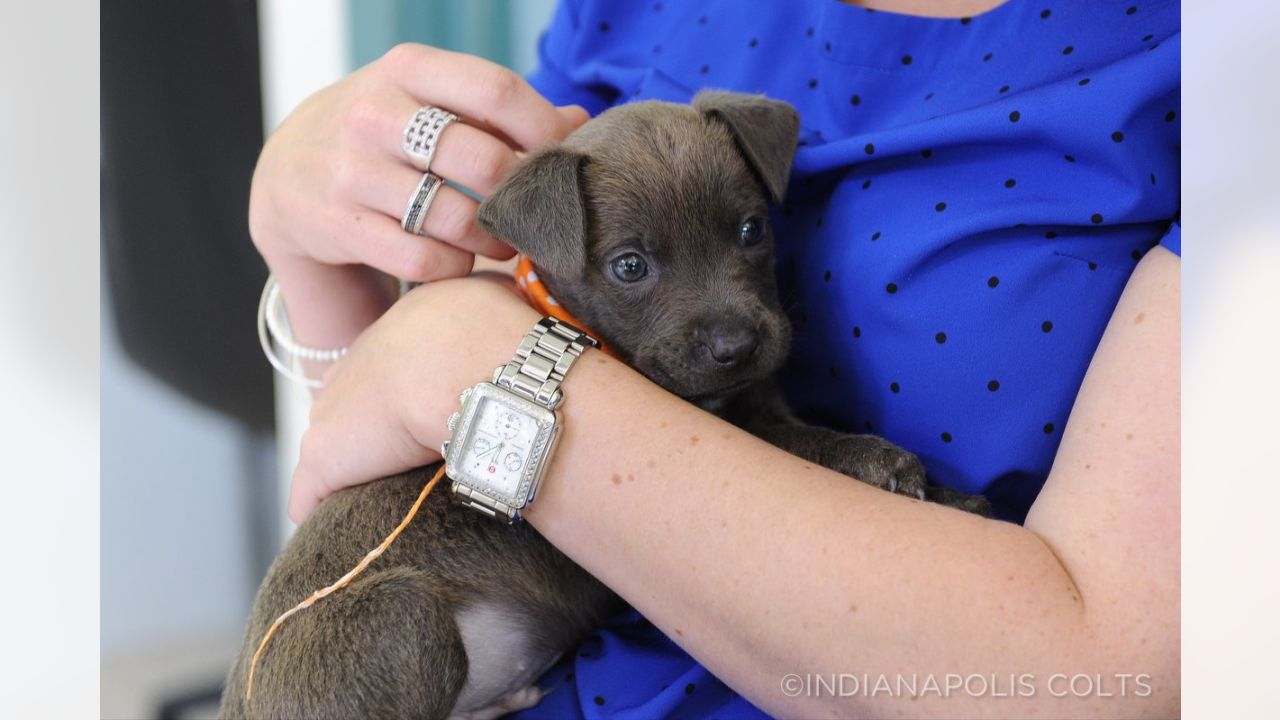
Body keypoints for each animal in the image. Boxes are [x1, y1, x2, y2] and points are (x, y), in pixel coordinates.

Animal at [217, 89, 988, 717]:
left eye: (751, 230)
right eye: (629, 266)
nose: (737, 345)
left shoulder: (759, 398)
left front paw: (954, 498)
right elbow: (807, 443)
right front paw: (882, 462)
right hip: (404, 617)